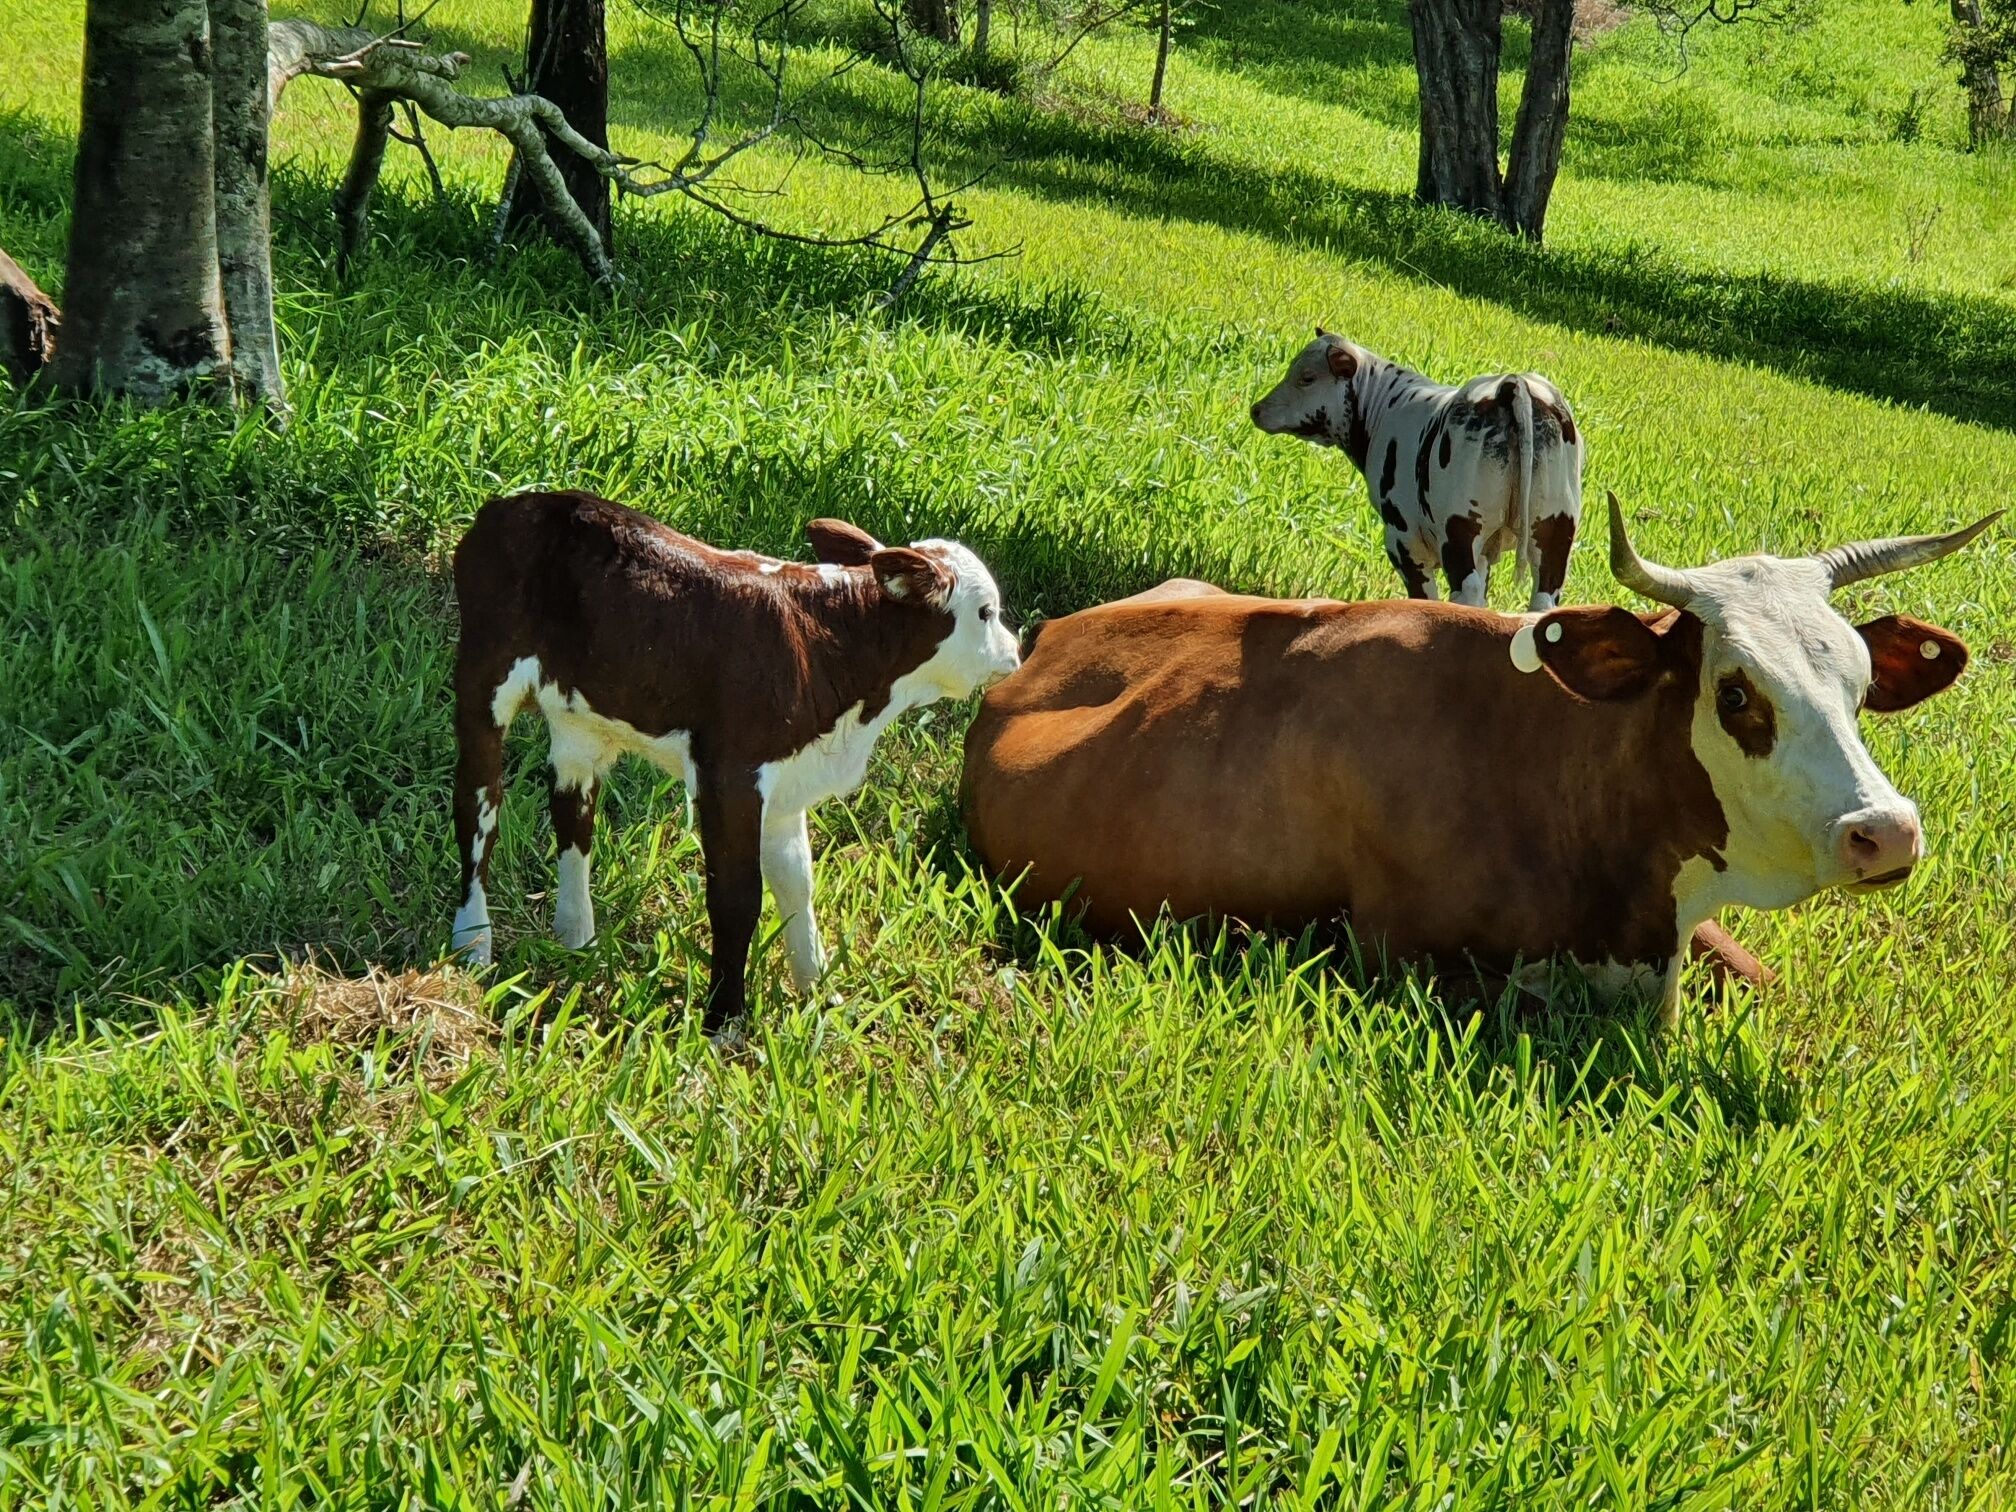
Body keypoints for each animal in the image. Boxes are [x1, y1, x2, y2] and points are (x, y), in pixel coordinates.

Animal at [455, 491, 1024, 1040]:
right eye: (985, 612)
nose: (1016, 652)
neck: (833, 646)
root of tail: (513, 505)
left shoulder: (789, 781)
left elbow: (797, 884)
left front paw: (819, 994)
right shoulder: (729, 775)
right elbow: (736, 897)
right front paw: (723, 1023)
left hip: (579, 721)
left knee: (573, 820)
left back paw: (577, 937)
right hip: (483, 682)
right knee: (478, 812)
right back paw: (472, 943)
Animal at [1241, 330, 1588, 616]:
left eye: (1307, 377)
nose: (1256, 409)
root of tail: (1509, 385)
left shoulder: (1402, 540)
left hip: (1459, 527)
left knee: (1467, 592)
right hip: (1555, 525)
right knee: (1543, 597)